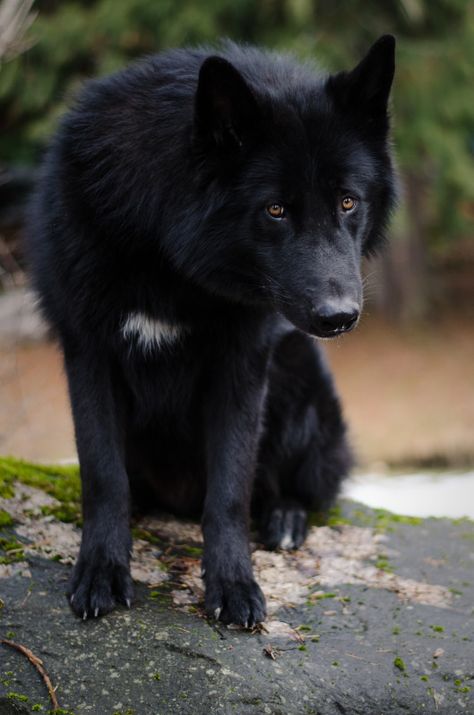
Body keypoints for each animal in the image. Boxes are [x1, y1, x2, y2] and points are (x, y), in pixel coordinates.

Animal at [25, 36, 396, 624]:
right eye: (275, 209)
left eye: (347, 201)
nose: (339, 317)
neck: (167, 258)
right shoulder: (89, 352)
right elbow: (103, 476)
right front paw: (102, 570)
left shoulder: (241, 364)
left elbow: (229, 489)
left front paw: (233, 585)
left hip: (300, 377)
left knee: (298, 487)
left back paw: (284, 518)